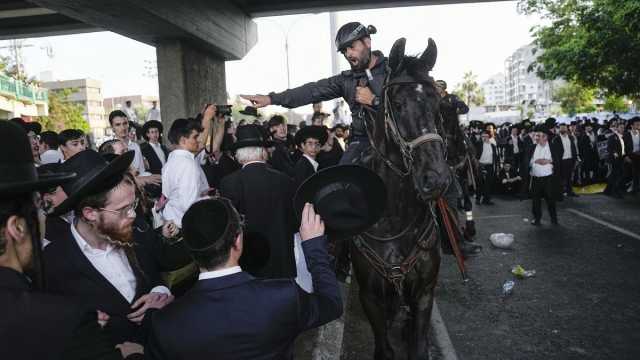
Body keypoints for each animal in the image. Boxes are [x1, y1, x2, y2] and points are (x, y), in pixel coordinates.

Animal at [356, 38, 450, 358]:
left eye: (437, 104)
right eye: (397, 105)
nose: (436, 179)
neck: (394, 217)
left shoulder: (423, 293)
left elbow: (418, 347)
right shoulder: (369, 297)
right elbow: (384, 349)